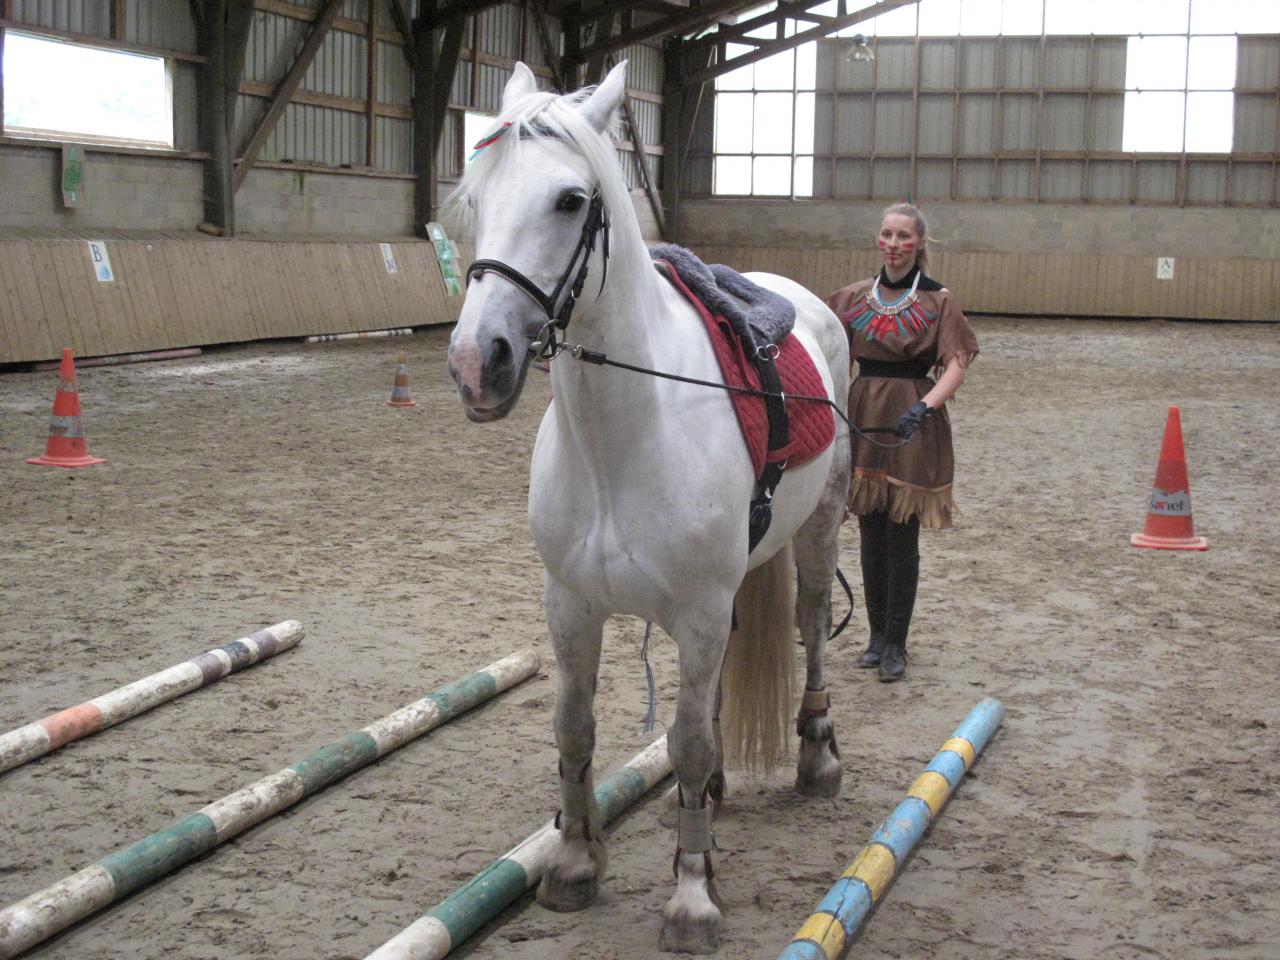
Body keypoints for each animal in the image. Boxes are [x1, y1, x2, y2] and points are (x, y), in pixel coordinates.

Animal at [445, 64, 855, 957]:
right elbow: (575, 728)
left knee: (811, 625)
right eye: (473, 196)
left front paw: (693, 896)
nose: (475, 363)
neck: (620, 444)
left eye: (570, 200)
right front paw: (573, 863)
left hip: (818, 527)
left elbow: (688, 741)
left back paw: (816, 758)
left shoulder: (696, 612)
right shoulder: (570, 604)